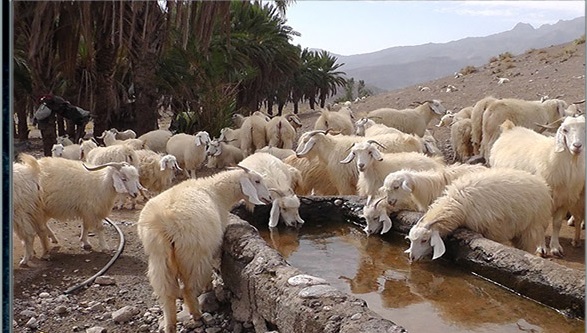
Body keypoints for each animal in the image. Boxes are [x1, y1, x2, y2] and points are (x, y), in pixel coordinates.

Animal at [137, 166, 272, 332]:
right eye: (257, 181)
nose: (269, 198)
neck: (216, 192)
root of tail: (164, 223)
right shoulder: (210, 247)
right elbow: (211, 269)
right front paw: (208, 288)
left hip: (159, 258)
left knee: (167, 294)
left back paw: (170, 325)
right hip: (193, 255)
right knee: (188, 288)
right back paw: (196, 314)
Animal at [406, 167, 552, 260]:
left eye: (424, 240)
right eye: (411, 240)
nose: (411, 257)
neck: (458, 202)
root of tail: (543, 185)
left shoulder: (492, 230)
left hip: (532, 227)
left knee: (528, 247)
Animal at [490, 115, 584, 255]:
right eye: (565, 130)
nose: (577, 146)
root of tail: (510, 128)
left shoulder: (565, 200)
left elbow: (557, 223)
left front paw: (555, 247)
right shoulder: (545, 199)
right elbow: (543, 224)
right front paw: (541, 247)